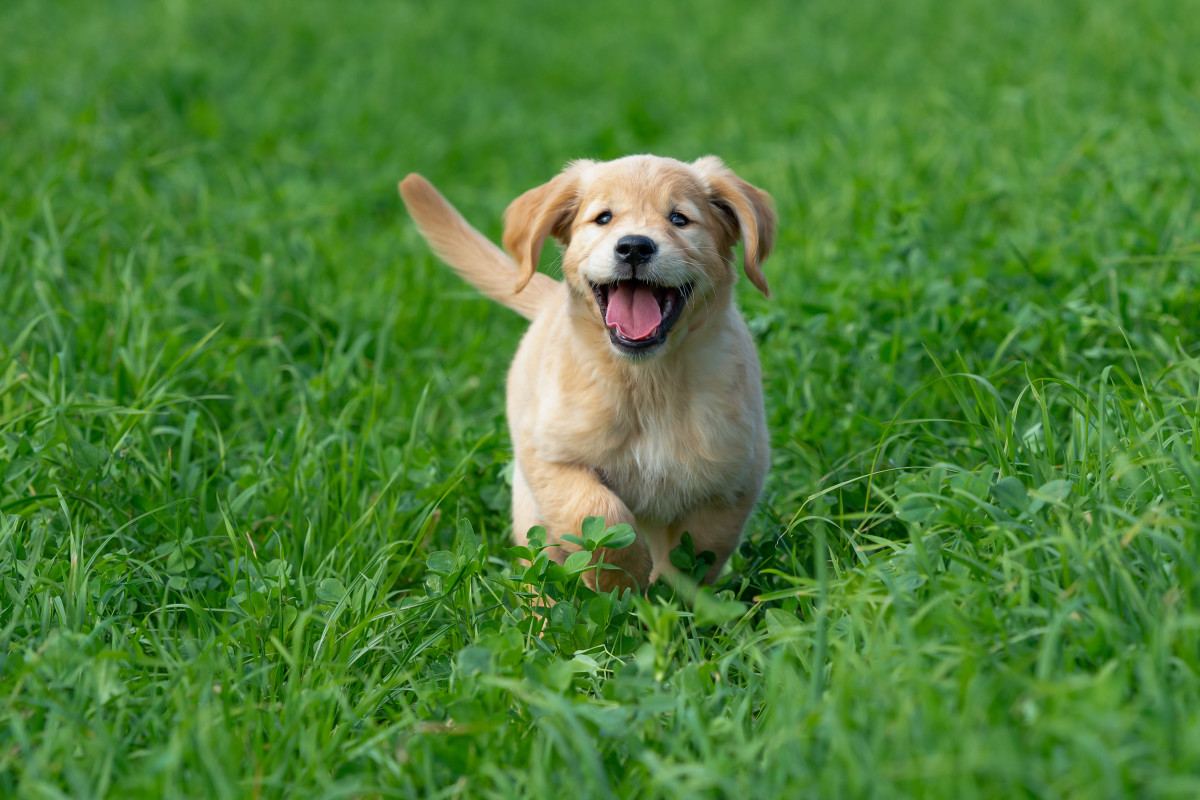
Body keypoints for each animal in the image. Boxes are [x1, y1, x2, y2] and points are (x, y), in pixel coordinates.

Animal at [400, 155, 777, 592]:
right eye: (604, 218)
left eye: (679, 219)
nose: (634, 246)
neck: (646, 381)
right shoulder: (549, 456)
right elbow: (598, 513)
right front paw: (623, 580)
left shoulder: (732, 479)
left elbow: (698, 550)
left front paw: (668, 594)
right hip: (529, 508)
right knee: (538, 570)